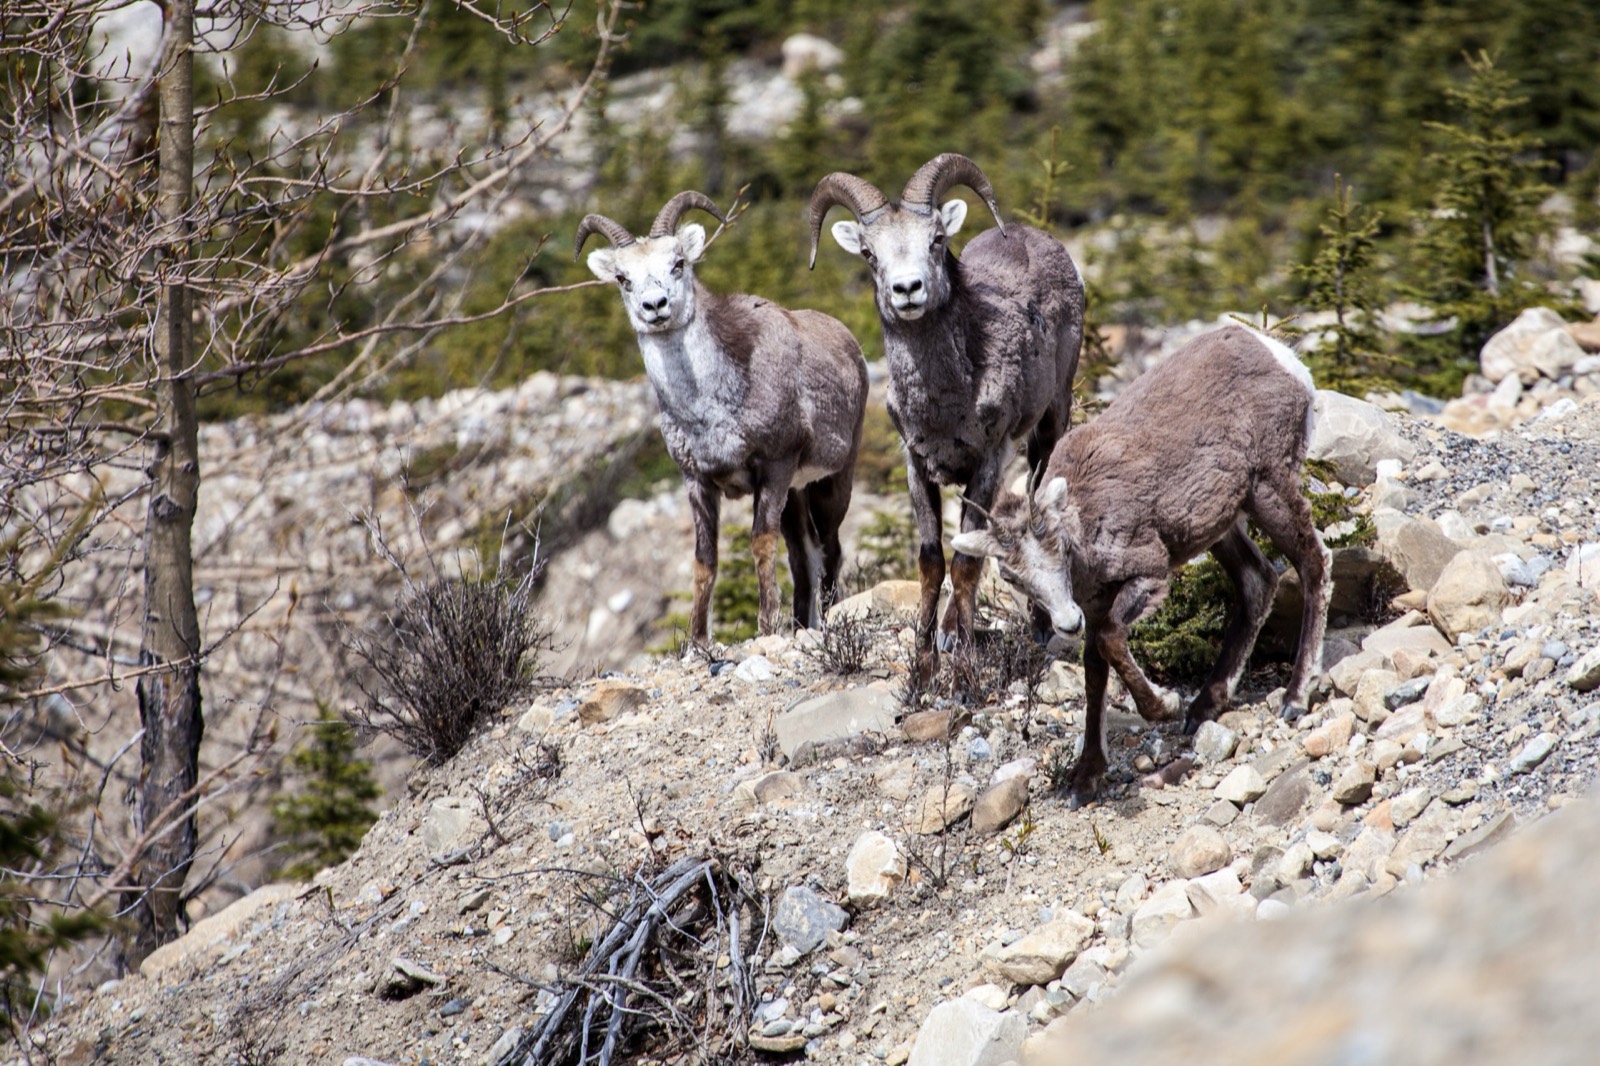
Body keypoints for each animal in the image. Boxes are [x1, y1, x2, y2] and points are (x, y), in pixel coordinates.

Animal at [576, 191, 869, 644]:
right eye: (623, 278)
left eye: (678, 262)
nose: (655, 307)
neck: (709, 410)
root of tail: (850, 344)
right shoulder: (698, 482)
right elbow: (705, 560)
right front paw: (698, 642)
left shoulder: (775, 467)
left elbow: (760, 544)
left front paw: (766, 628)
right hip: (795, 494)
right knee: (804, 557)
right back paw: (803, 625)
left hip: (831, 481)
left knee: (830, 550)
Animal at [807, 153, 1084, 681]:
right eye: (869, 253)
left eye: (936, 239)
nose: (908, 290)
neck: (945, 404)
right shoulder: (917, 466)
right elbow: (934, 560)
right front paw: (923, 663)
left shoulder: (988, 462)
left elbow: (966, 566)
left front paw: (964, 669)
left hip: (1051, 422)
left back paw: (1037, 626)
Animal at [950, 325, 1331, 807]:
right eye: (1013, 576)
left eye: (1058, 545)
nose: (1066, 622)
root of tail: (1283, 359)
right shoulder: (1094, 610)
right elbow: (1095, 675)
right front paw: (1086, 779)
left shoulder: (1148, 575)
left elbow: (1112, 643)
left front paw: (1164, 705)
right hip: (1220, 523)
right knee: (1258, 581)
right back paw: (1204, 706)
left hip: (1268, 487)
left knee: (1313, 562)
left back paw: (1295, 697)